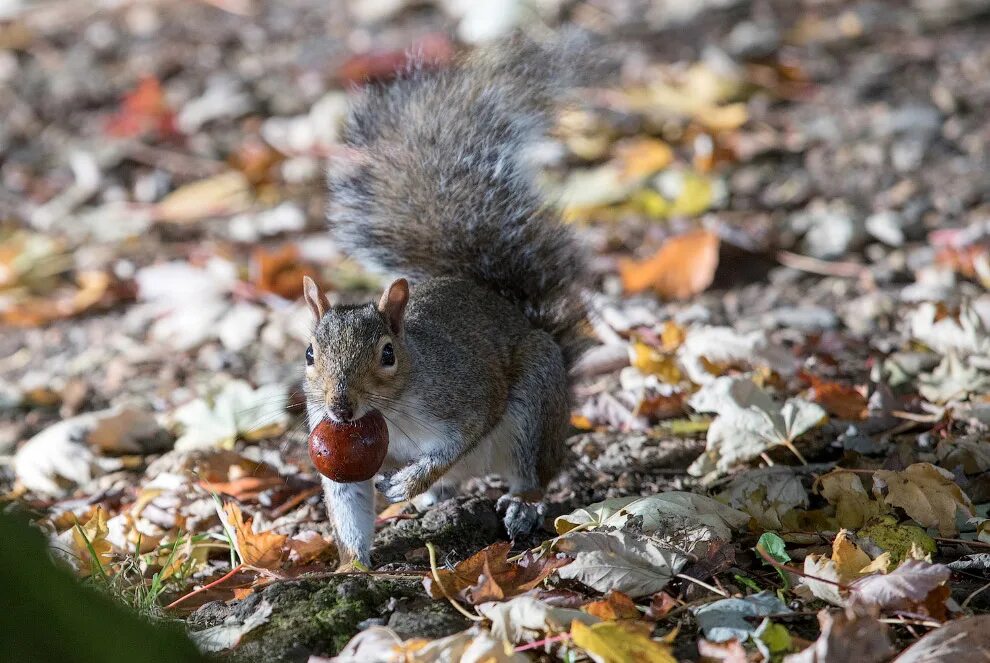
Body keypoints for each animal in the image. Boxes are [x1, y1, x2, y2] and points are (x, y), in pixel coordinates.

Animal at [296, 35, 588, 564]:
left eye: (387, 354)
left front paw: (410, 482)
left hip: (535, 405)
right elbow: (347, 504)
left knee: (533, 473)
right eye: (310, 354)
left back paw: (520, 506)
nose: (340, 408)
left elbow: (456, 441)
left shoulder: (465, 395)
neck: (387, 413)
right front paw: (352, 565)